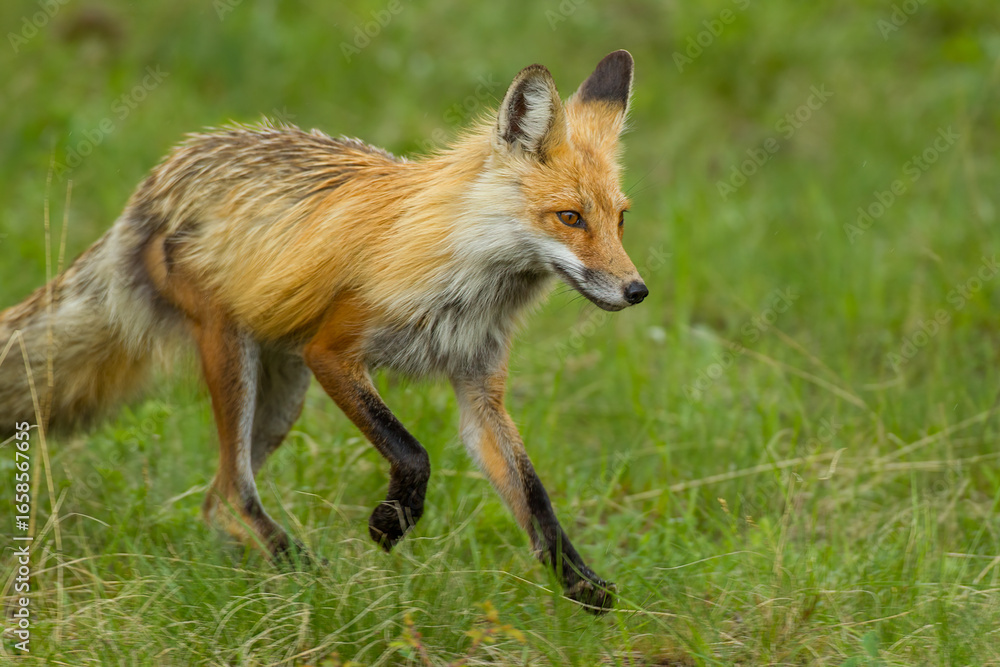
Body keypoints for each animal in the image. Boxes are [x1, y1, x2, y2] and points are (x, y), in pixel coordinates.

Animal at [0, 50, 646, 612]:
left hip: (281, 394)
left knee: (216, 499)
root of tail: (162, 175)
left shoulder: (479, 389)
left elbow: (534, 496)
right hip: (239, 360)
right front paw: (391, 522)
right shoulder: (332, 351)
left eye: (619, 219)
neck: (467, 277)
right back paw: (313, 580)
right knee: (234, 492)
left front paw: (581, 585)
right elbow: (413, 452)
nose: (637, 291)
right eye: (570, 217)